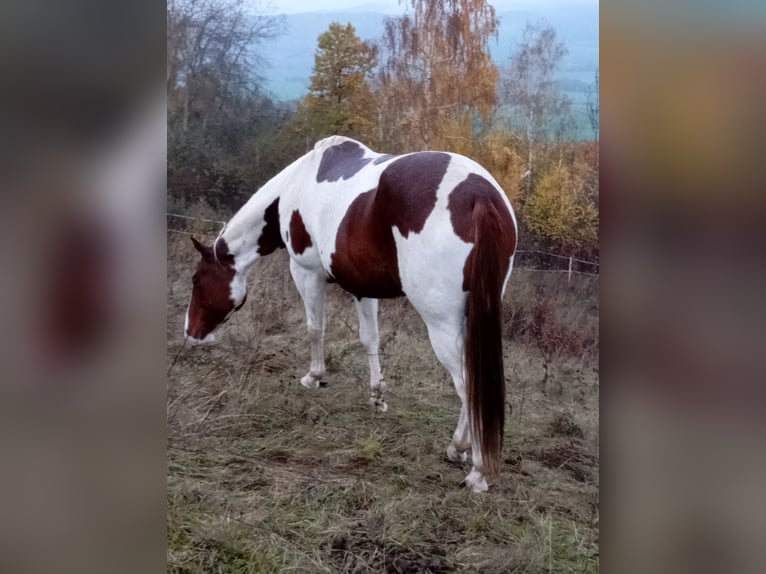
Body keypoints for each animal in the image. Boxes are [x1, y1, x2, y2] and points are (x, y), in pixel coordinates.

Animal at [184, 136, 520, 496]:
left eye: (197, 280)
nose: (190, 334)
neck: (295, 185)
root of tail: (479, 195)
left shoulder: (306, 272)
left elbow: (315, 328)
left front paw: (314, 376)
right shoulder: (363, 288)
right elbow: (370, 339)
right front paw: (376, 397)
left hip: (441, 322)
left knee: (467, 384)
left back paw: (472, 464)